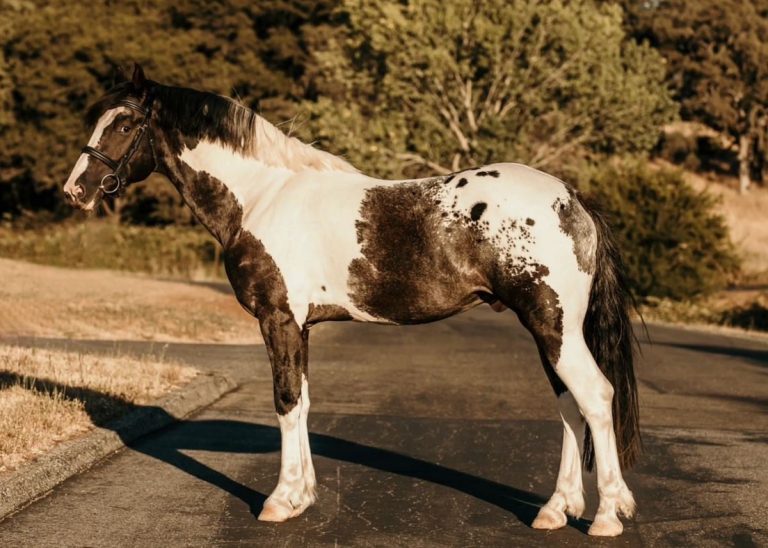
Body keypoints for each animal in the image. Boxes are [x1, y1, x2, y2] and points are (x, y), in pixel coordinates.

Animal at [63, 64, 640, 537]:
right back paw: (556, 509)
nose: (76, 190)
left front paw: (279, 501)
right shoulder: (300, 326)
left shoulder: (278, 319)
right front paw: (302, 496)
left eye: (122, 125)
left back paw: (607, 516)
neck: (261, 197)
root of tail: (572, 199)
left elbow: (285, 400)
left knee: (595, 397)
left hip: (553, 324)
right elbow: (303, 400)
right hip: (549, 330)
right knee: (569, 406)